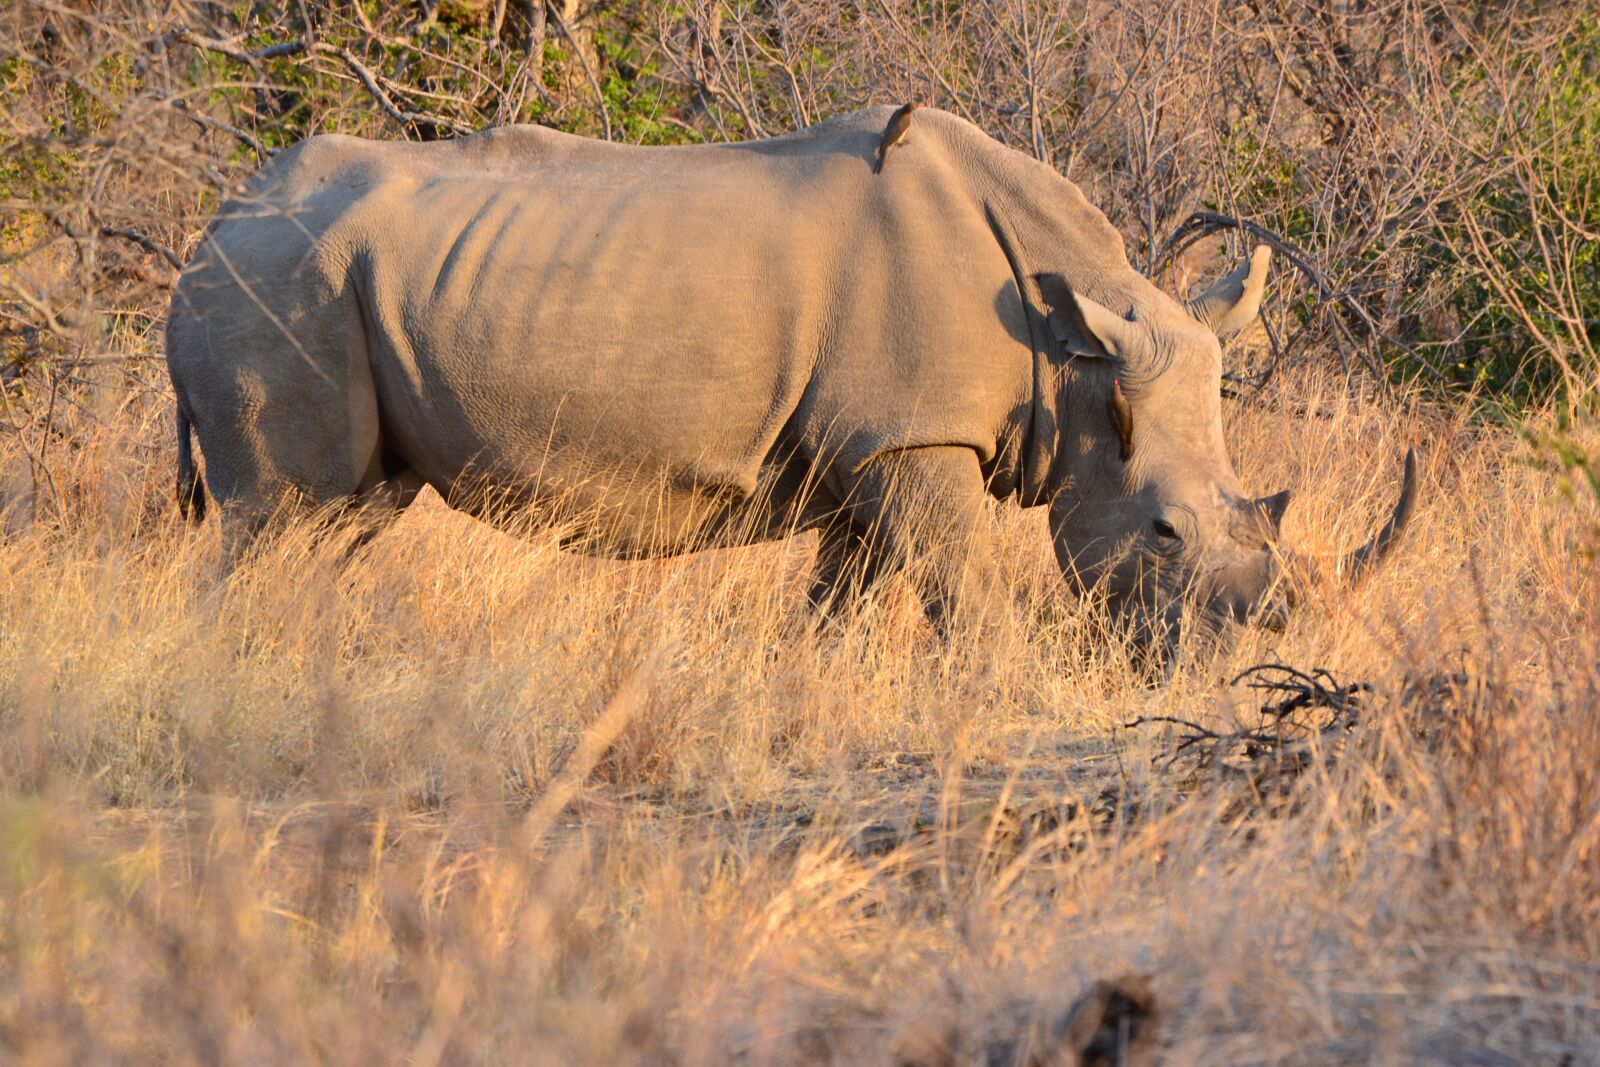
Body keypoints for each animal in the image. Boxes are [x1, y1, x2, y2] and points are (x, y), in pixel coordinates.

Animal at [166, 105, 1414, 646]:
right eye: (1161, 533)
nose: (1244, 646)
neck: (1069, 357)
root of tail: (214, 220)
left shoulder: (870, 447)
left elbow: (840, 603)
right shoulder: (913, 437)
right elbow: (959, 591)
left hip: (318, 280)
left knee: (346, 514)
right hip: (276, 278)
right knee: (278, 513)